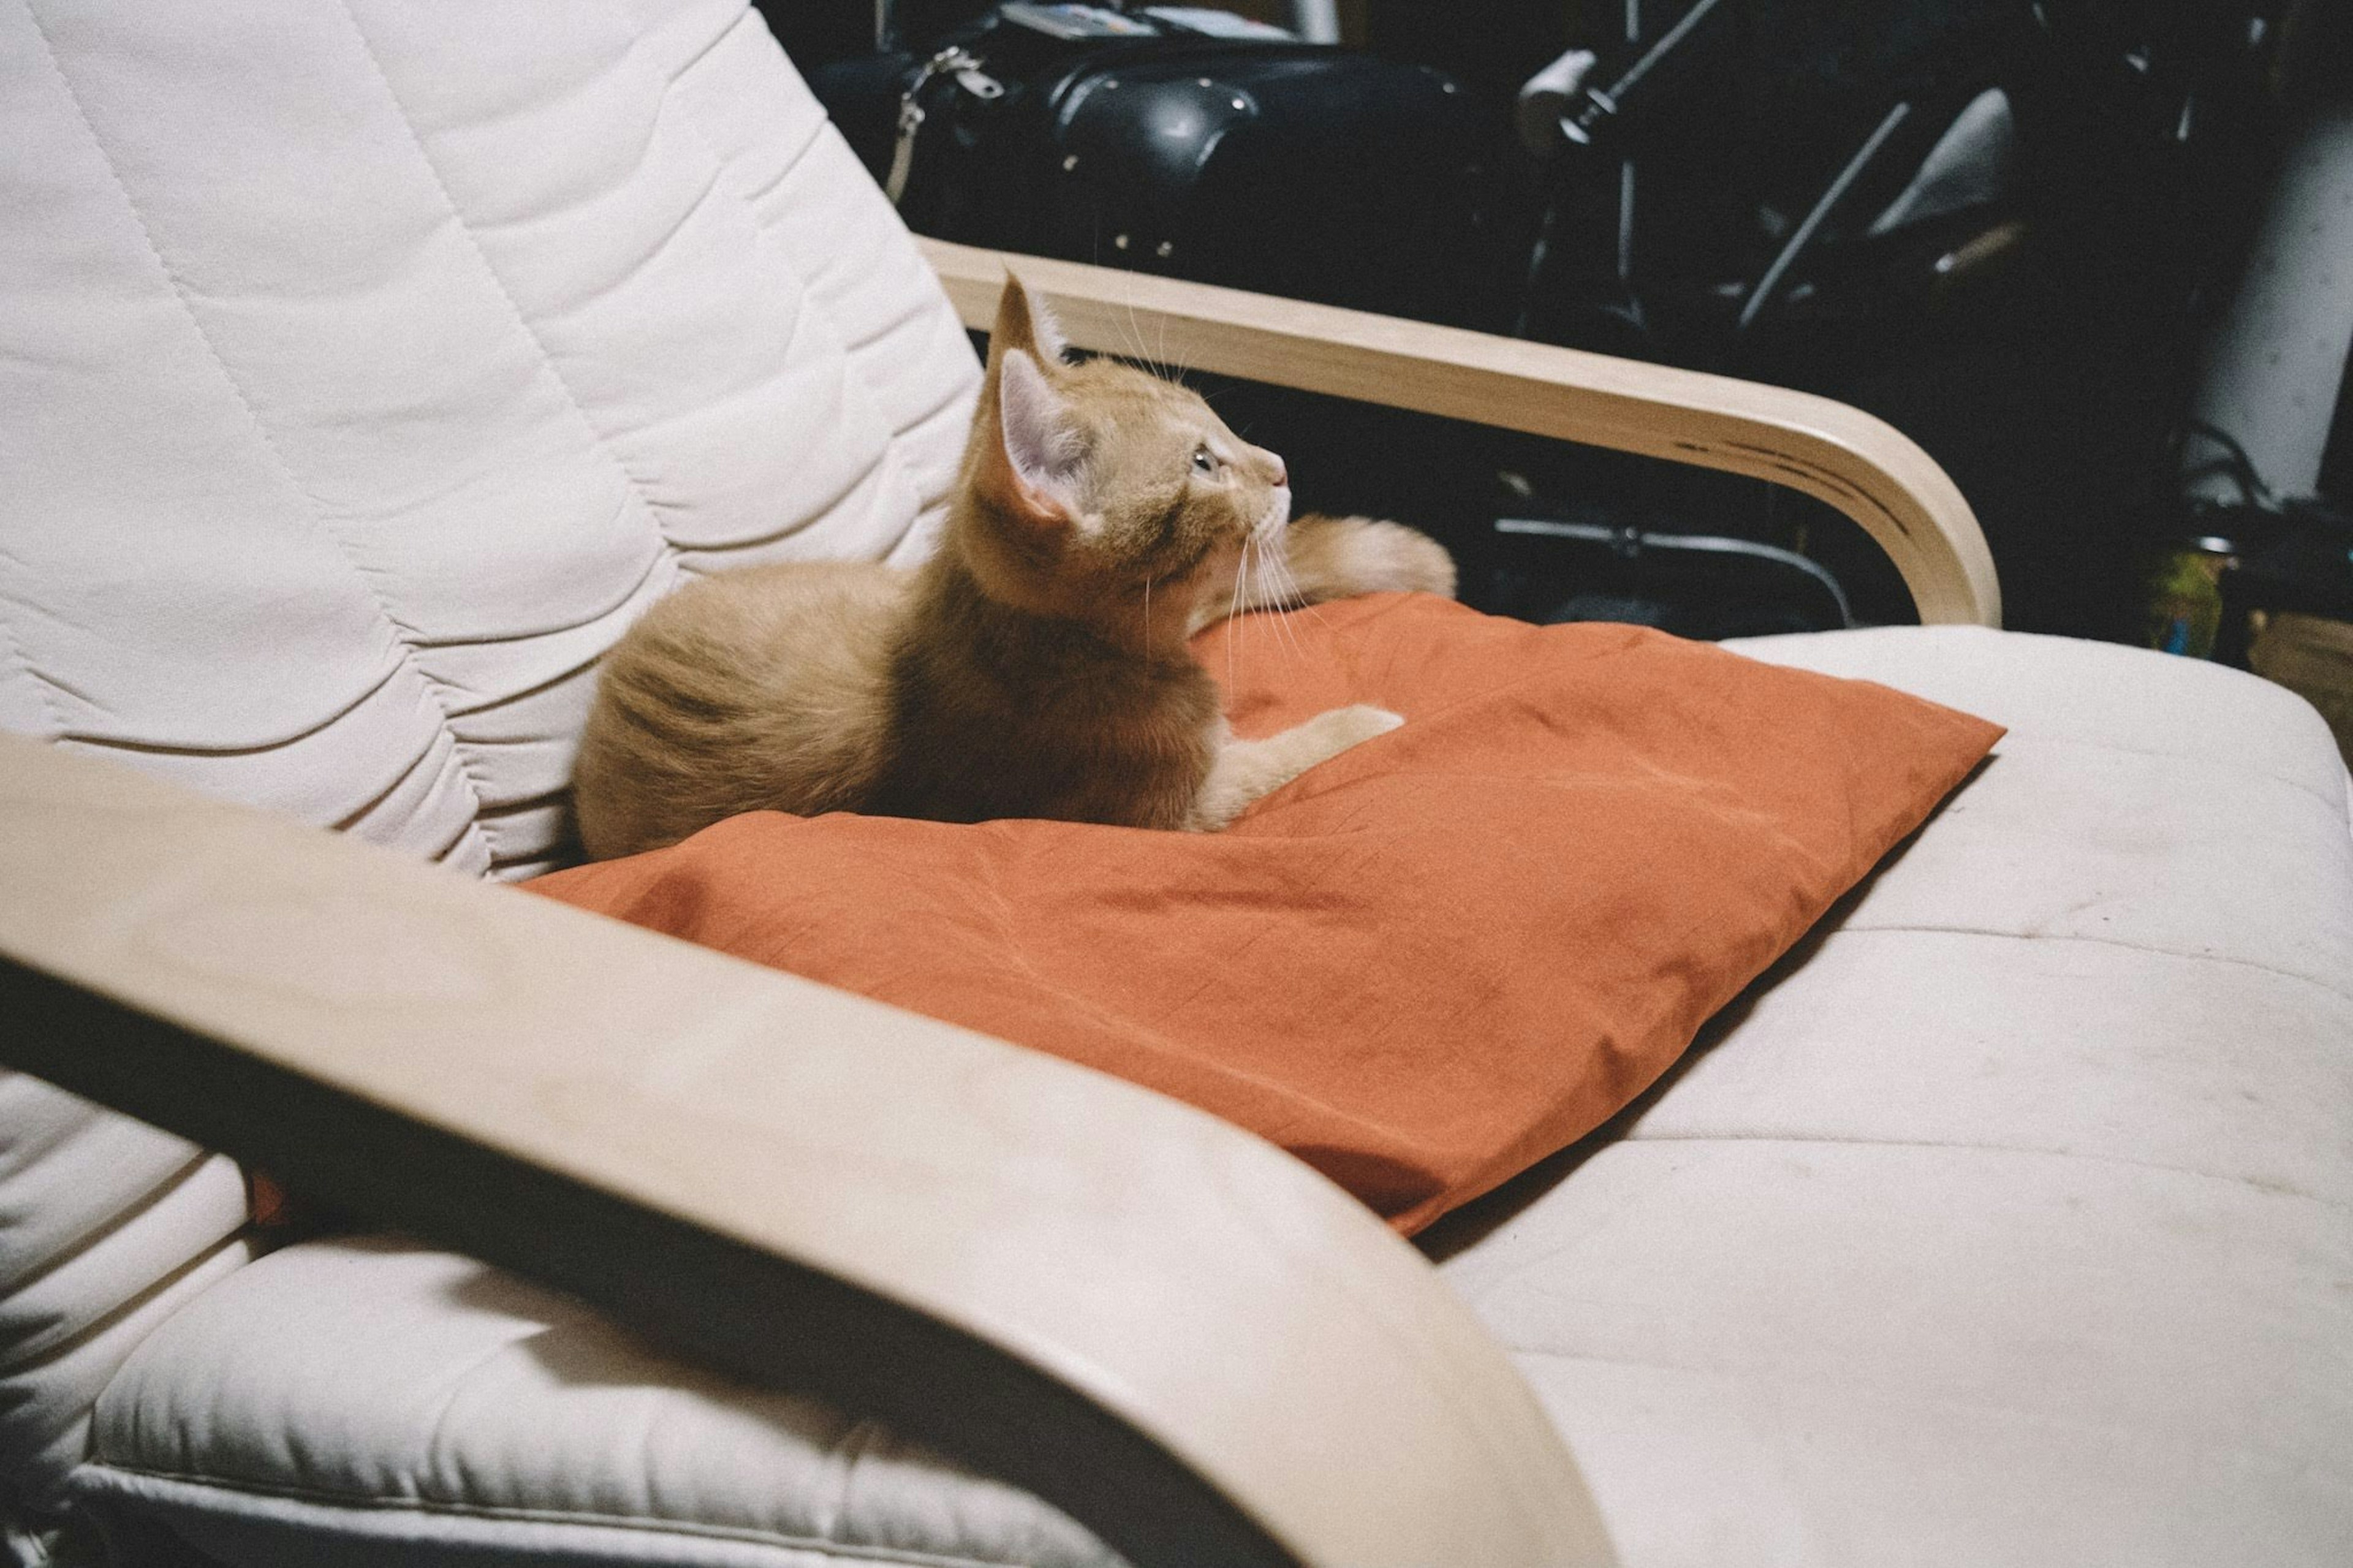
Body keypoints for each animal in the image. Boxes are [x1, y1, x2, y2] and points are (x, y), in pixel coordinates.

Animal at [569, 274, 1449, 862]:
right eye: (1203, 463)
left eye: (1218, 424)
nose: (1280, 466)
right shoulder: (1173, 809)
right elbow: (1294, 752)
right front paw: (1370, 721)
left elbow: (1263, 572)